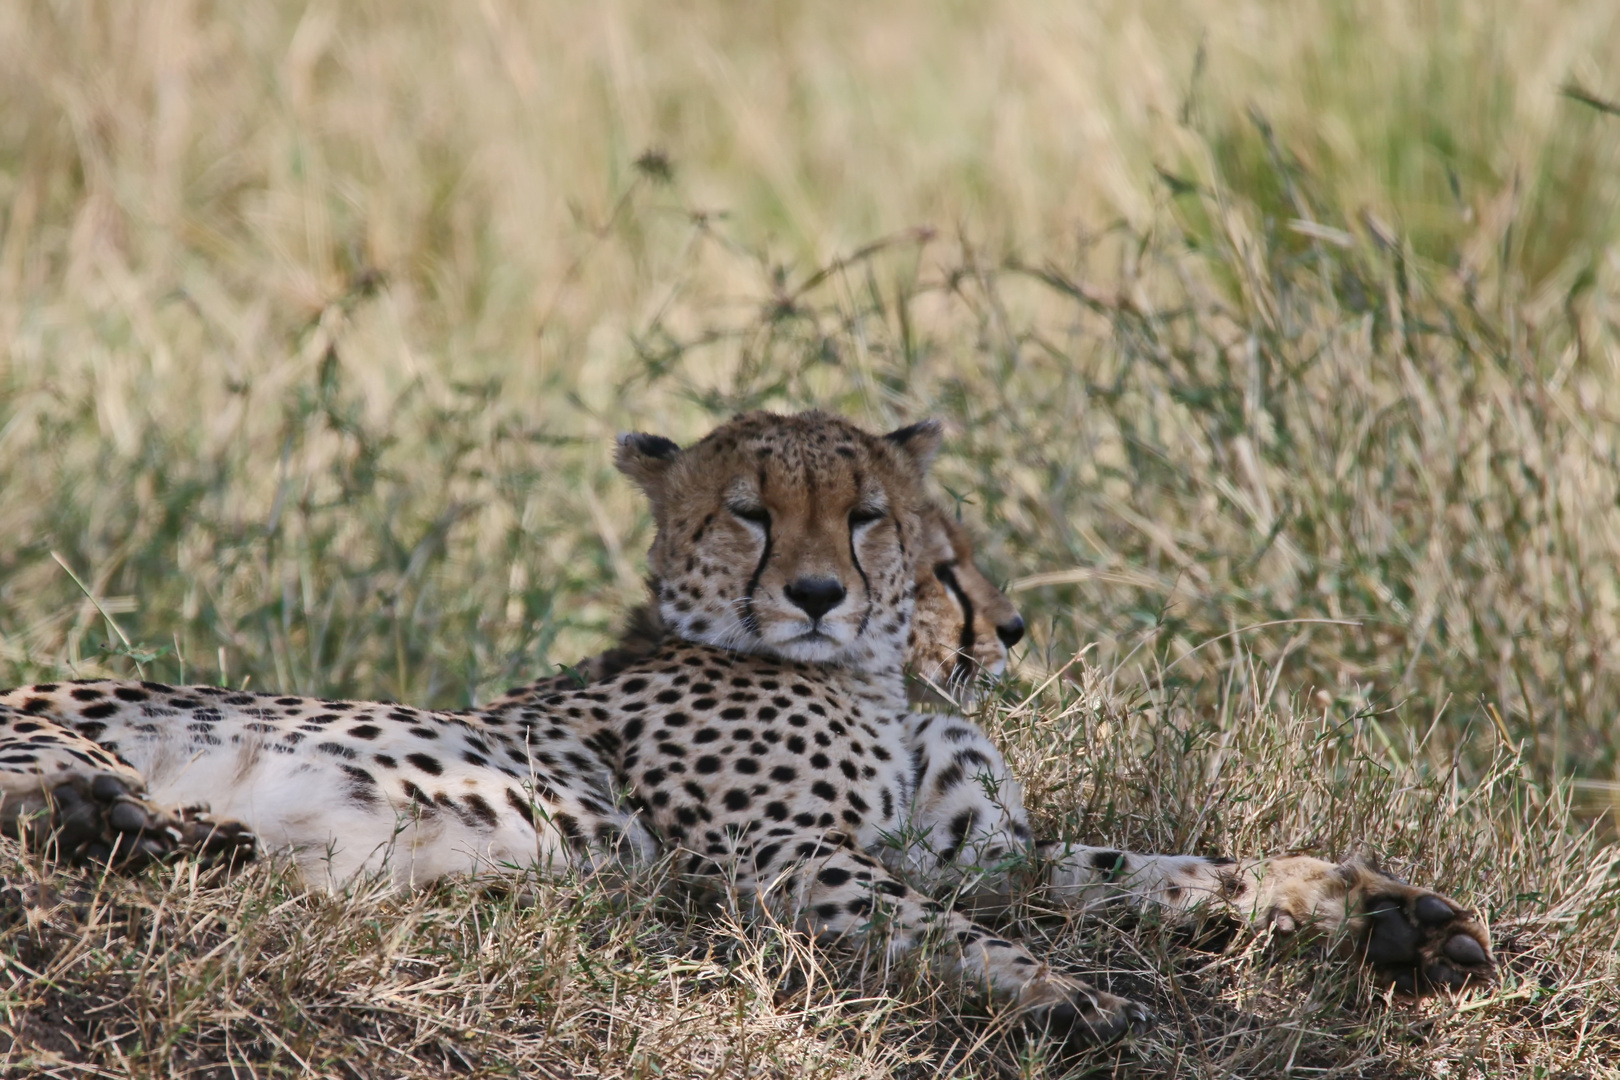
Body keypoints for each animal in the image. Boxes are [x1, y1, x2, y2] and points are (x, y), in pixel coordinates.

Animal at [0, 409, 1490, 1042]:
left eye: (882, 526)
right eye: (755, 513)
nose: (1007, 628)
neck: (876, 685)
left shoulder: (981, 855)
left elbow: (1157, 870)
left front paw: (1372, 908)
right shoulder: (784, 864)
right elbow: (967, 934)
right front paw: (1064, 999)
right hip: (72, 722)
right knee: (50, 793)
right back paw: (132, 828)